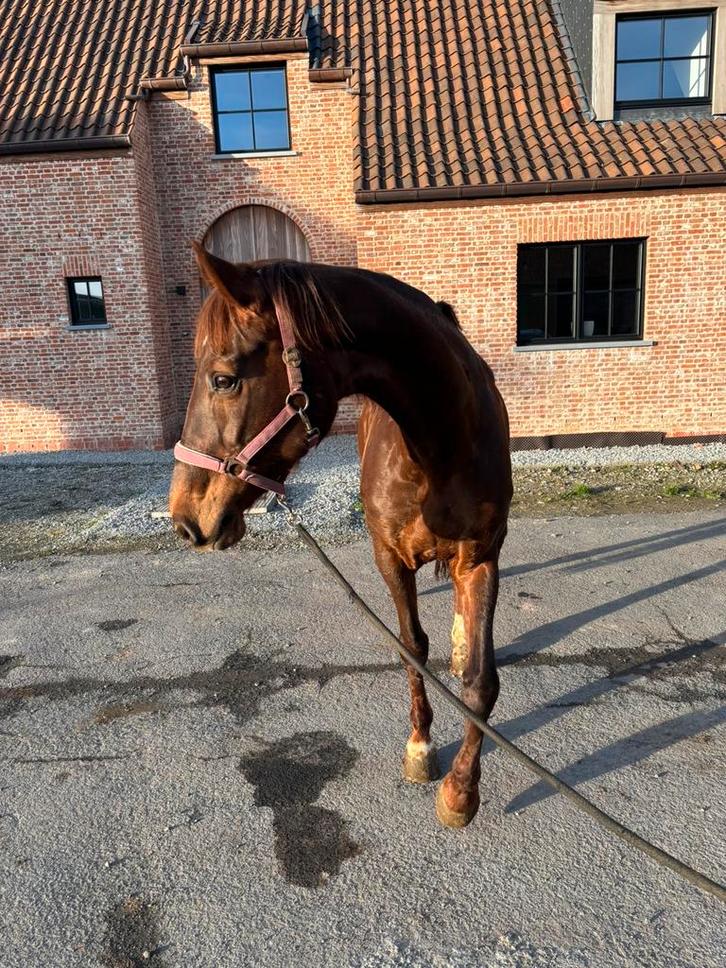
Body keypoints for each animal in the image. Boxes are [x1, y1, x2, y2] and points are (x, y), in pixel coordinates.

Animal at [169, 243, 512, 828]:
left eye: (222, 379)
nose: (184, 517)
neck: (441, 449)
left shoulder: (482, 556)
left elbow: (479, 680)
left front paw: (461, 792)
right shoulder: (389, 557)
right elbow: (411, 648)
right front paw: (420, 749)